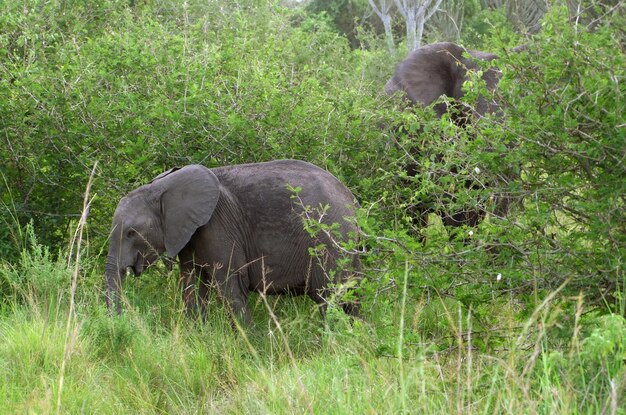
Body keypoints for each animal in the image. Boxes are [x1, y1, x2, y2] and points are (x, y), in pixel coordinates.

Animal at [105, 159, 360, 324]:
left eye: (131, 233)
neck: (160, 188)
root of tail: (352, 201)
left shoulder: (218, 227)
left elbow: (230, 286)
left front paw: (250, 346)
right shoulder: (189, 234)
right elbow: (190, 284)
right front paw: (196, 334)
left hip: (330, 242)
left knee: (329, 297)